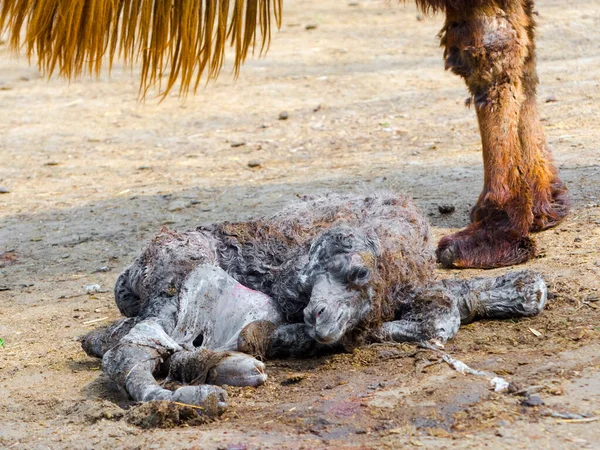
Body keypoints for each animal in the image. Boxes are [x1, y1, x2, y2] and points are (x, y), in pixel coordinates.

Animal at [82, 190, 548, 412]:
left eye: (358, 274)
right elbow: (435, 320)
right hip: (183, 276)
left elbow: (448, 305)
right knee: (131, 351)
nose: (316, 313)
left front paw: (525, 290)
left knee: (149, 346)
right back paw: (200, 397)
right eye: (306, 282)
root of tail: (130, 276)